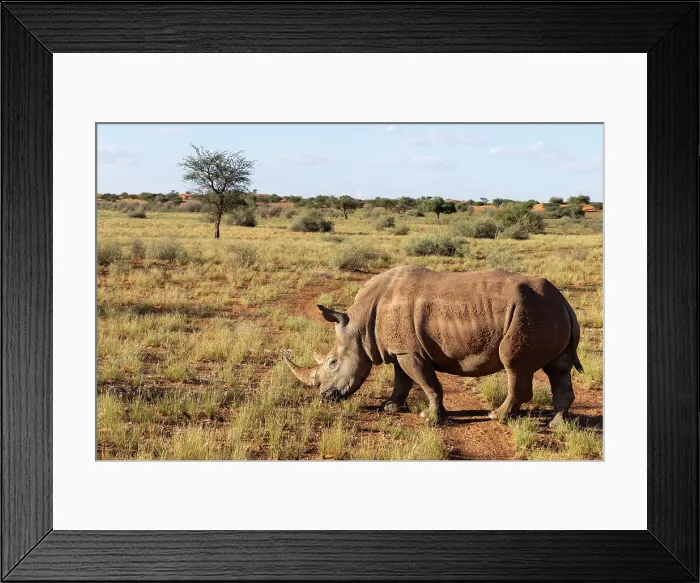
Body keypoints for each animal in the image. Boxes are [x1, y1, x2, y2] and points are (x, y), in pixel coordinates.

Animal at [285, 266, 583, 427]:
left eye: (333, 363)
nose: (325, 397)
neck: (359, 324)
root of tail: (564, 301)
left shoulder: (409, 351)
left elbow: (428, 383)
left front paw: (430, 418)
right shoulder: (400, 349)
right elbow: (402, 381)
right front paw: (390, 407)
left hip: (530, 313)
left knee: (515, 367)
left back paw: (495, 416)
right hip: (546, 310)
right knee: (558, 369)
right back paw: (557, 424)